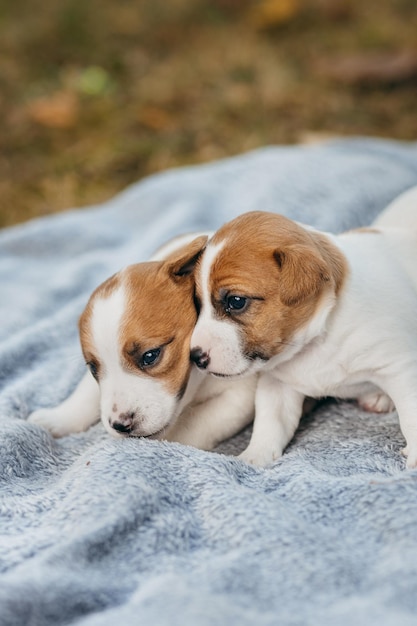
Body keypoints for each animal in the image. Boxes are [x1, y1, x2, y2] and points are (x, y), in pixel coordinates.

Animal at [28, 233, 256, 448]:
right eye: (92, 368)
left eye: (150, 356)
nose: (120, 425)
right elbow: (85, 392)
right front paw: (59, 418)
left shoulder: (236, 397)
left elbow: (196, 423)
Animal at [185, 186, 417, 468]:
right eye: (198, 304)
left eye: (236, 302)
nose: (195, 356)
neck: (315, 341)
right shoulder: (277, 386)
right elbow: (270, 423)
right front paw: (255, 456)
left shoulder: (400, 366)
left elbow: (411, 412)